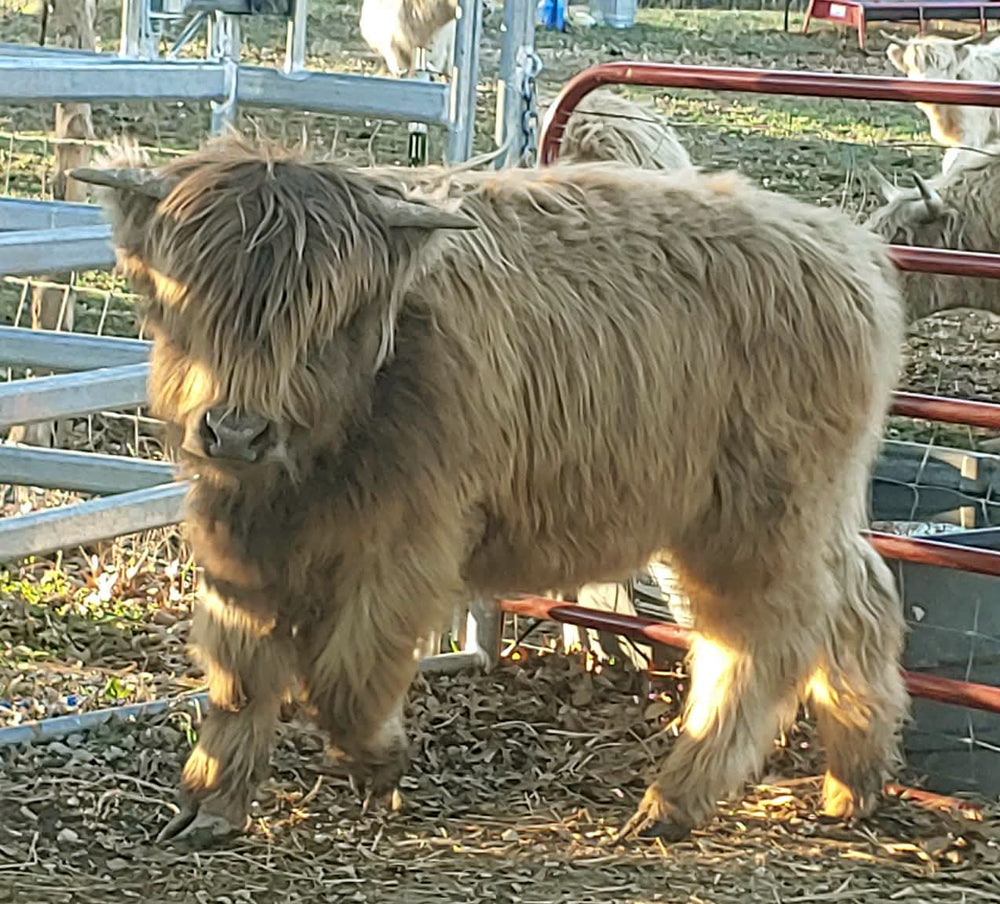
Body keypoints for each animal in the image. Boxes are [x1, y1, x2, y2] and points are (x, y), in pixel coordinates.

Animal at [73, 132, 907, 848]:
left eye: (324, 318)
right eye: (187, 303)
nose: (236, 431)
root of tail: (846, 247)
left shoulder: (411, 539)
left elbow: (345, 675)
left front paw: (379, 763)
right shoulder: (238, 534)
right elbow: (240, 673)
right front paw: (211, 803)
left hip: (757, 513)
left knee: (762, 638)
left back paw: (675, 799)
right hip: (801, 509)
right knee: (860, 599)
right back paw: (854, 781)